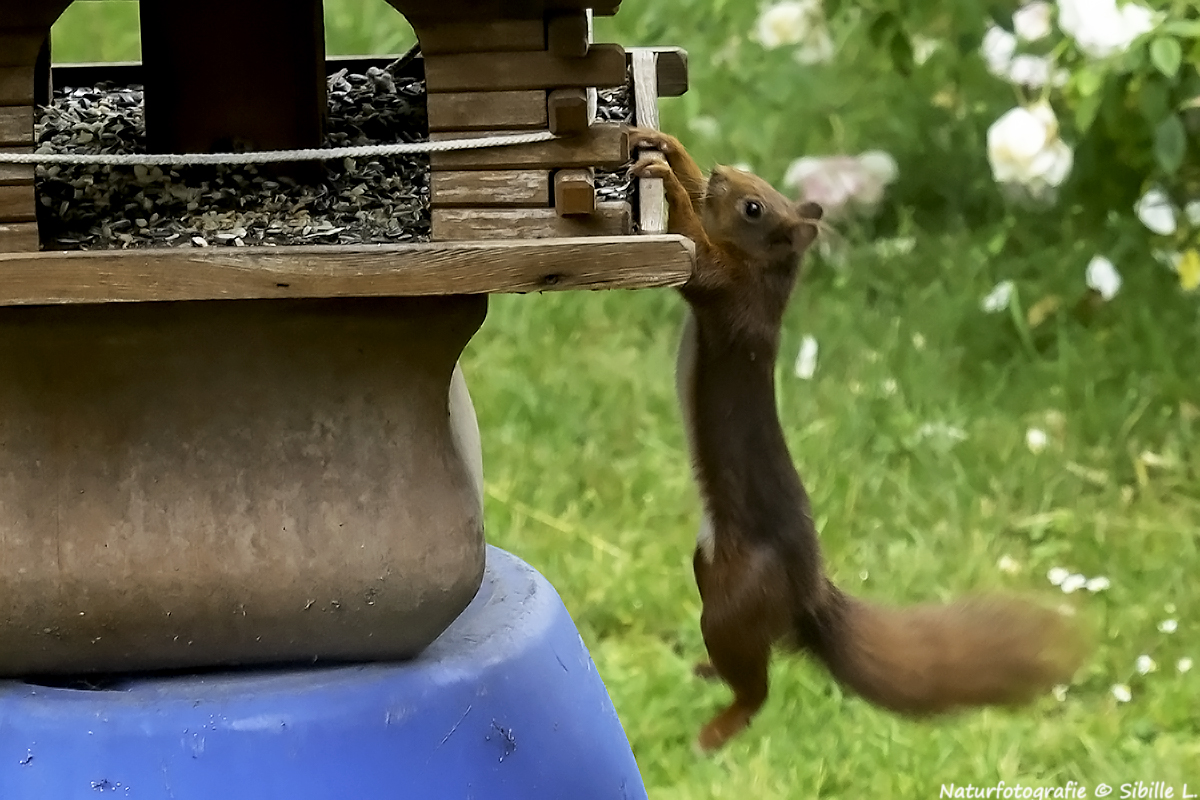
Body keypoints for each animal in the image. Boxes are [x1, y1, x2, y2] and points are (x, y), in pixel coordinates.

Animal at [628, 128, 1089, 753]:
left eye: (754, 207)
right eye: (747, 182)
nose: (723, 174)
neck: (769, 274)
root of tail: (808, 596)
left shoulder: (729, 291)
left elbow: (698, 249)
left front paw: (671, 183)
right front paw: (672, 151)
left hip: (737, 596)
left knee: (755, 686)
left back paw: (720, 727)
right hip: (709, 569)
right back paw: (707, 674)